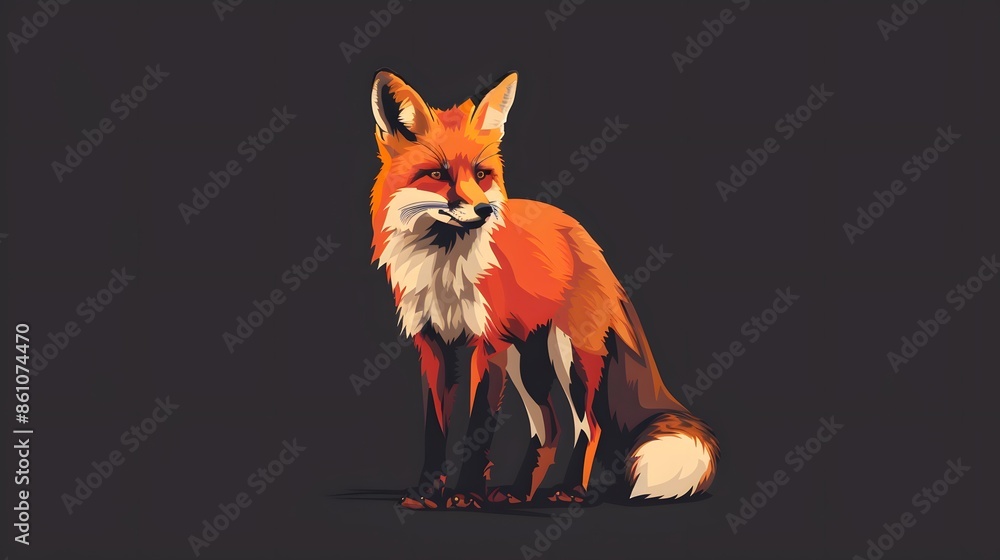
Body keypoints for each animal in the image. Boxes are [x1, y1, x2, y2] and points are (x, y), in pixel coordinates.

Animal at [368, 69, 719, 510]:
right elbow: (436, 431)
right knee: (550, 428)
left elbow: (479, 427)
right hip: (527, 361)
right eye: (438, 174)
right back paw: (520, 492)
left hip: (570, 355)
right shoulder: (432, 346)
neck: (444, 264)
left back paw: (569, 491)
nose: (484, 210)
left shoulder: (487, 347)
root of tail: (583, 236)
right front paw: (428, 493)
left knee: (590, 425)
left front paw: (465, 494)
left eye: (481, 174)